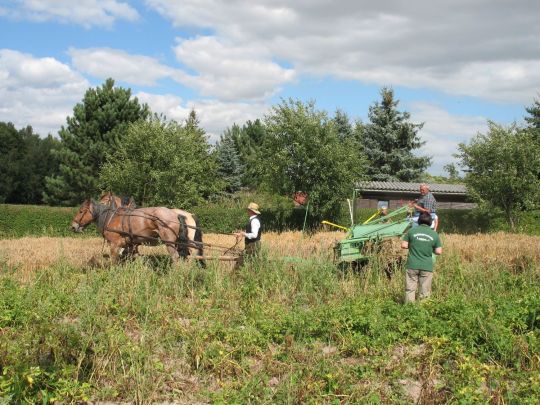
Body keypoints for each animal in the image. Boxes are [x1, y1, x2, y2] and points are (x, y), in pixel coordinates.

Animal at [71, 197, 202, 264]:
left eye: (81, 211)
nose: (73, 226)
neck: (112, 218)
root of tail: (177, 214)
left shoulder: (114, 245)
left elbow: (114, 261)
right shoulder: (130, 245)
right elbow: (132, 257)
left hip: (170, 243)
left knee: (178, 256)